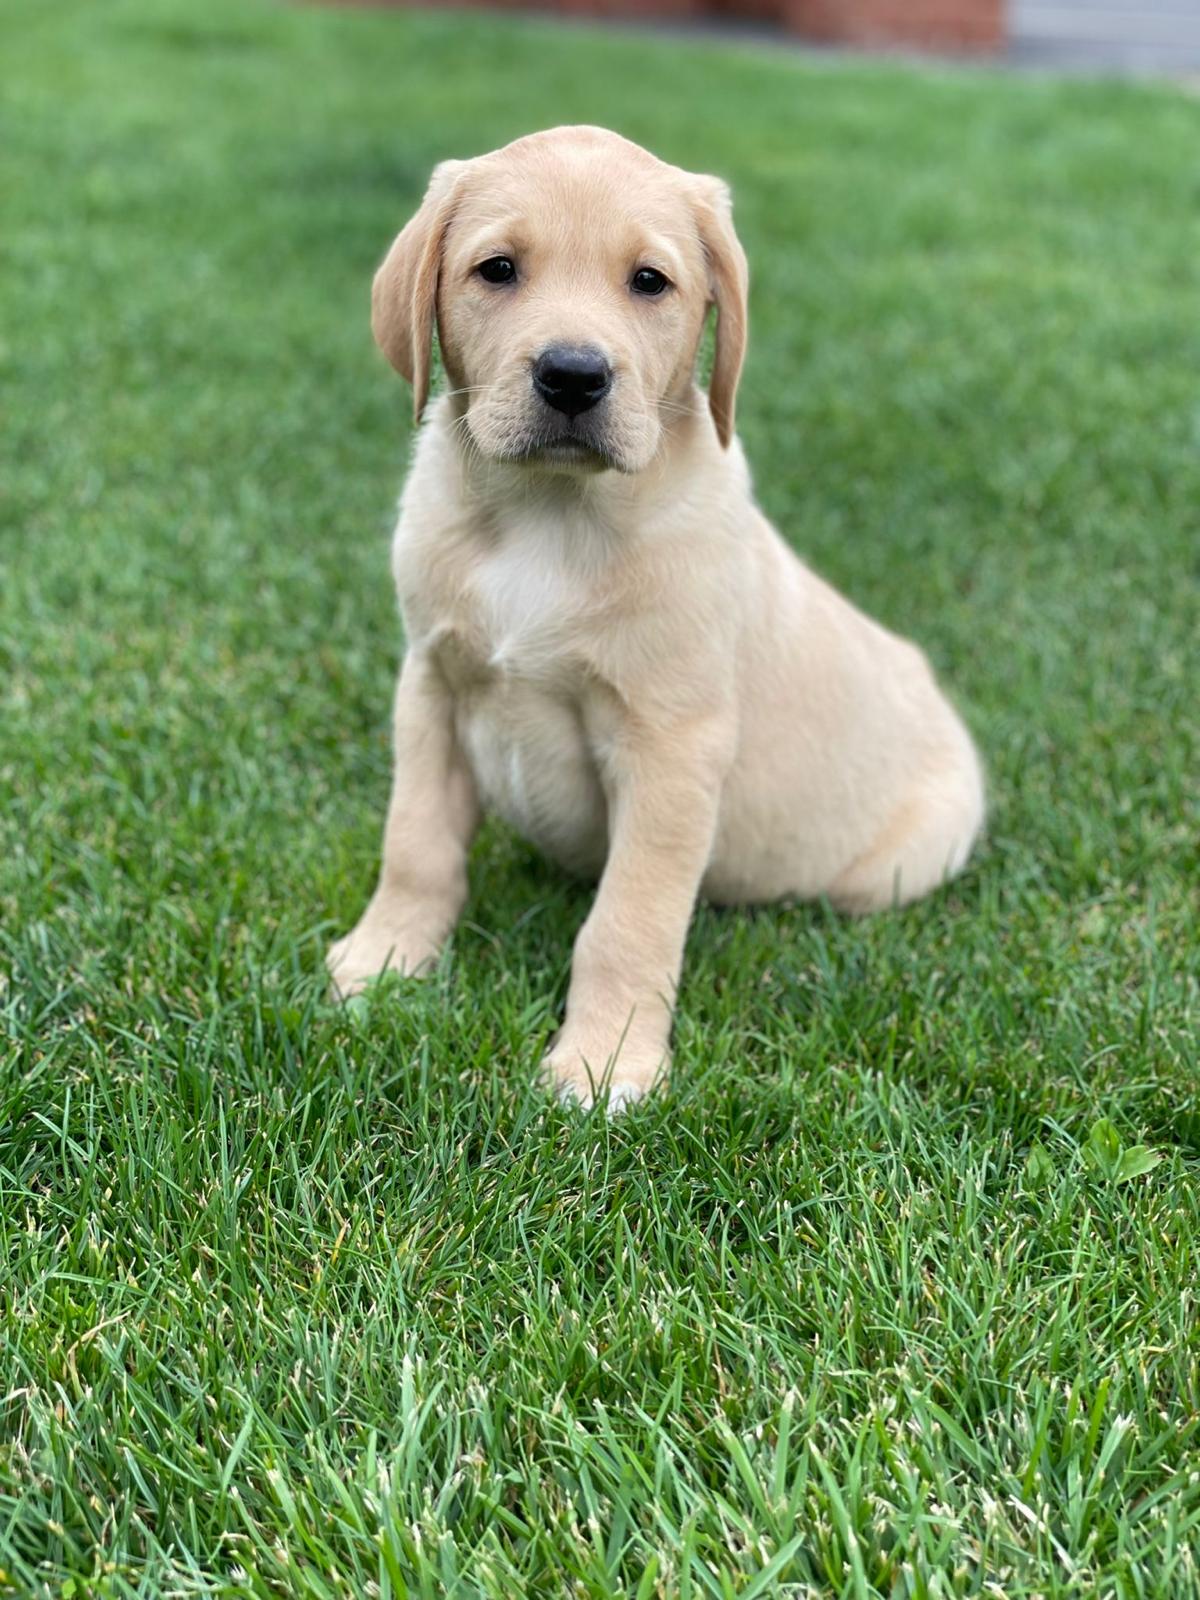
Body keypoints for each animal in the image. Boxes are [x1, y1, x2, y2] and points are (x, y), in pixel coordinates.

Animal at [324, 124, 979, 1107]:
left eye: (649, 282)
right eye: (497, 269)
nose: (573, 375)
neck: (548, 516)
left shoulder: (670, 746)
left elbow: (627, 921)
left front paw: (603, 1064)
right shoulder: (431, 687)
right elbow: (416, 845)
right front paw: (384, 961)